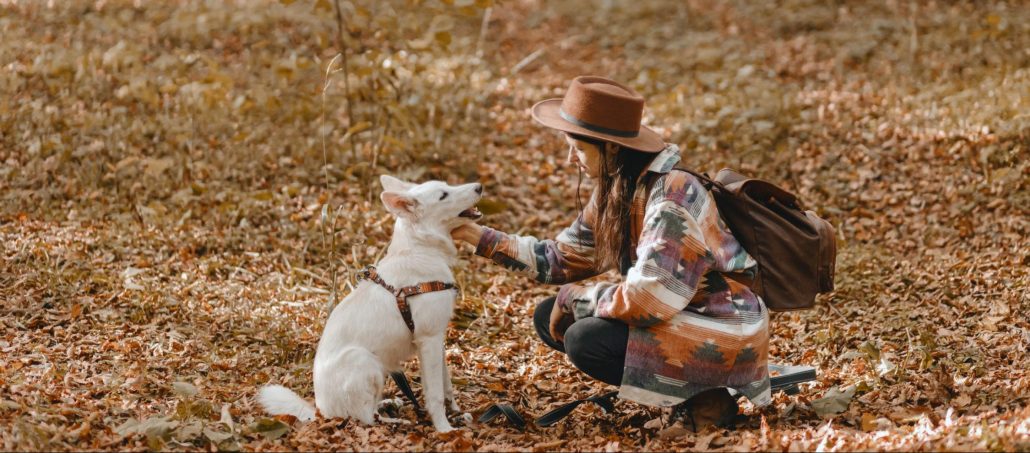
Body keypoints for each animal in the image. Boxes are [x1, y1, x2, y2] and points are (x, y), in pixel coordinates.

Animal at [257, 172, 482, 432]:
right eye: (443, 195)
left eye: (447, 186)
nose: (479, 187)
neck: (420, 249)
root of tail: (321, 412)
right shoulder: (429, 339)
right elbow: (434, 394)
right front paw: (445, 429)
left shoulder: (438, 339)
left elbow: (446, 384)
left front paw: (455, 412)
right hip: (365, 360)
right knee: (364, 418)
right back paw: (395, 420)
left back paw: (388, 404)